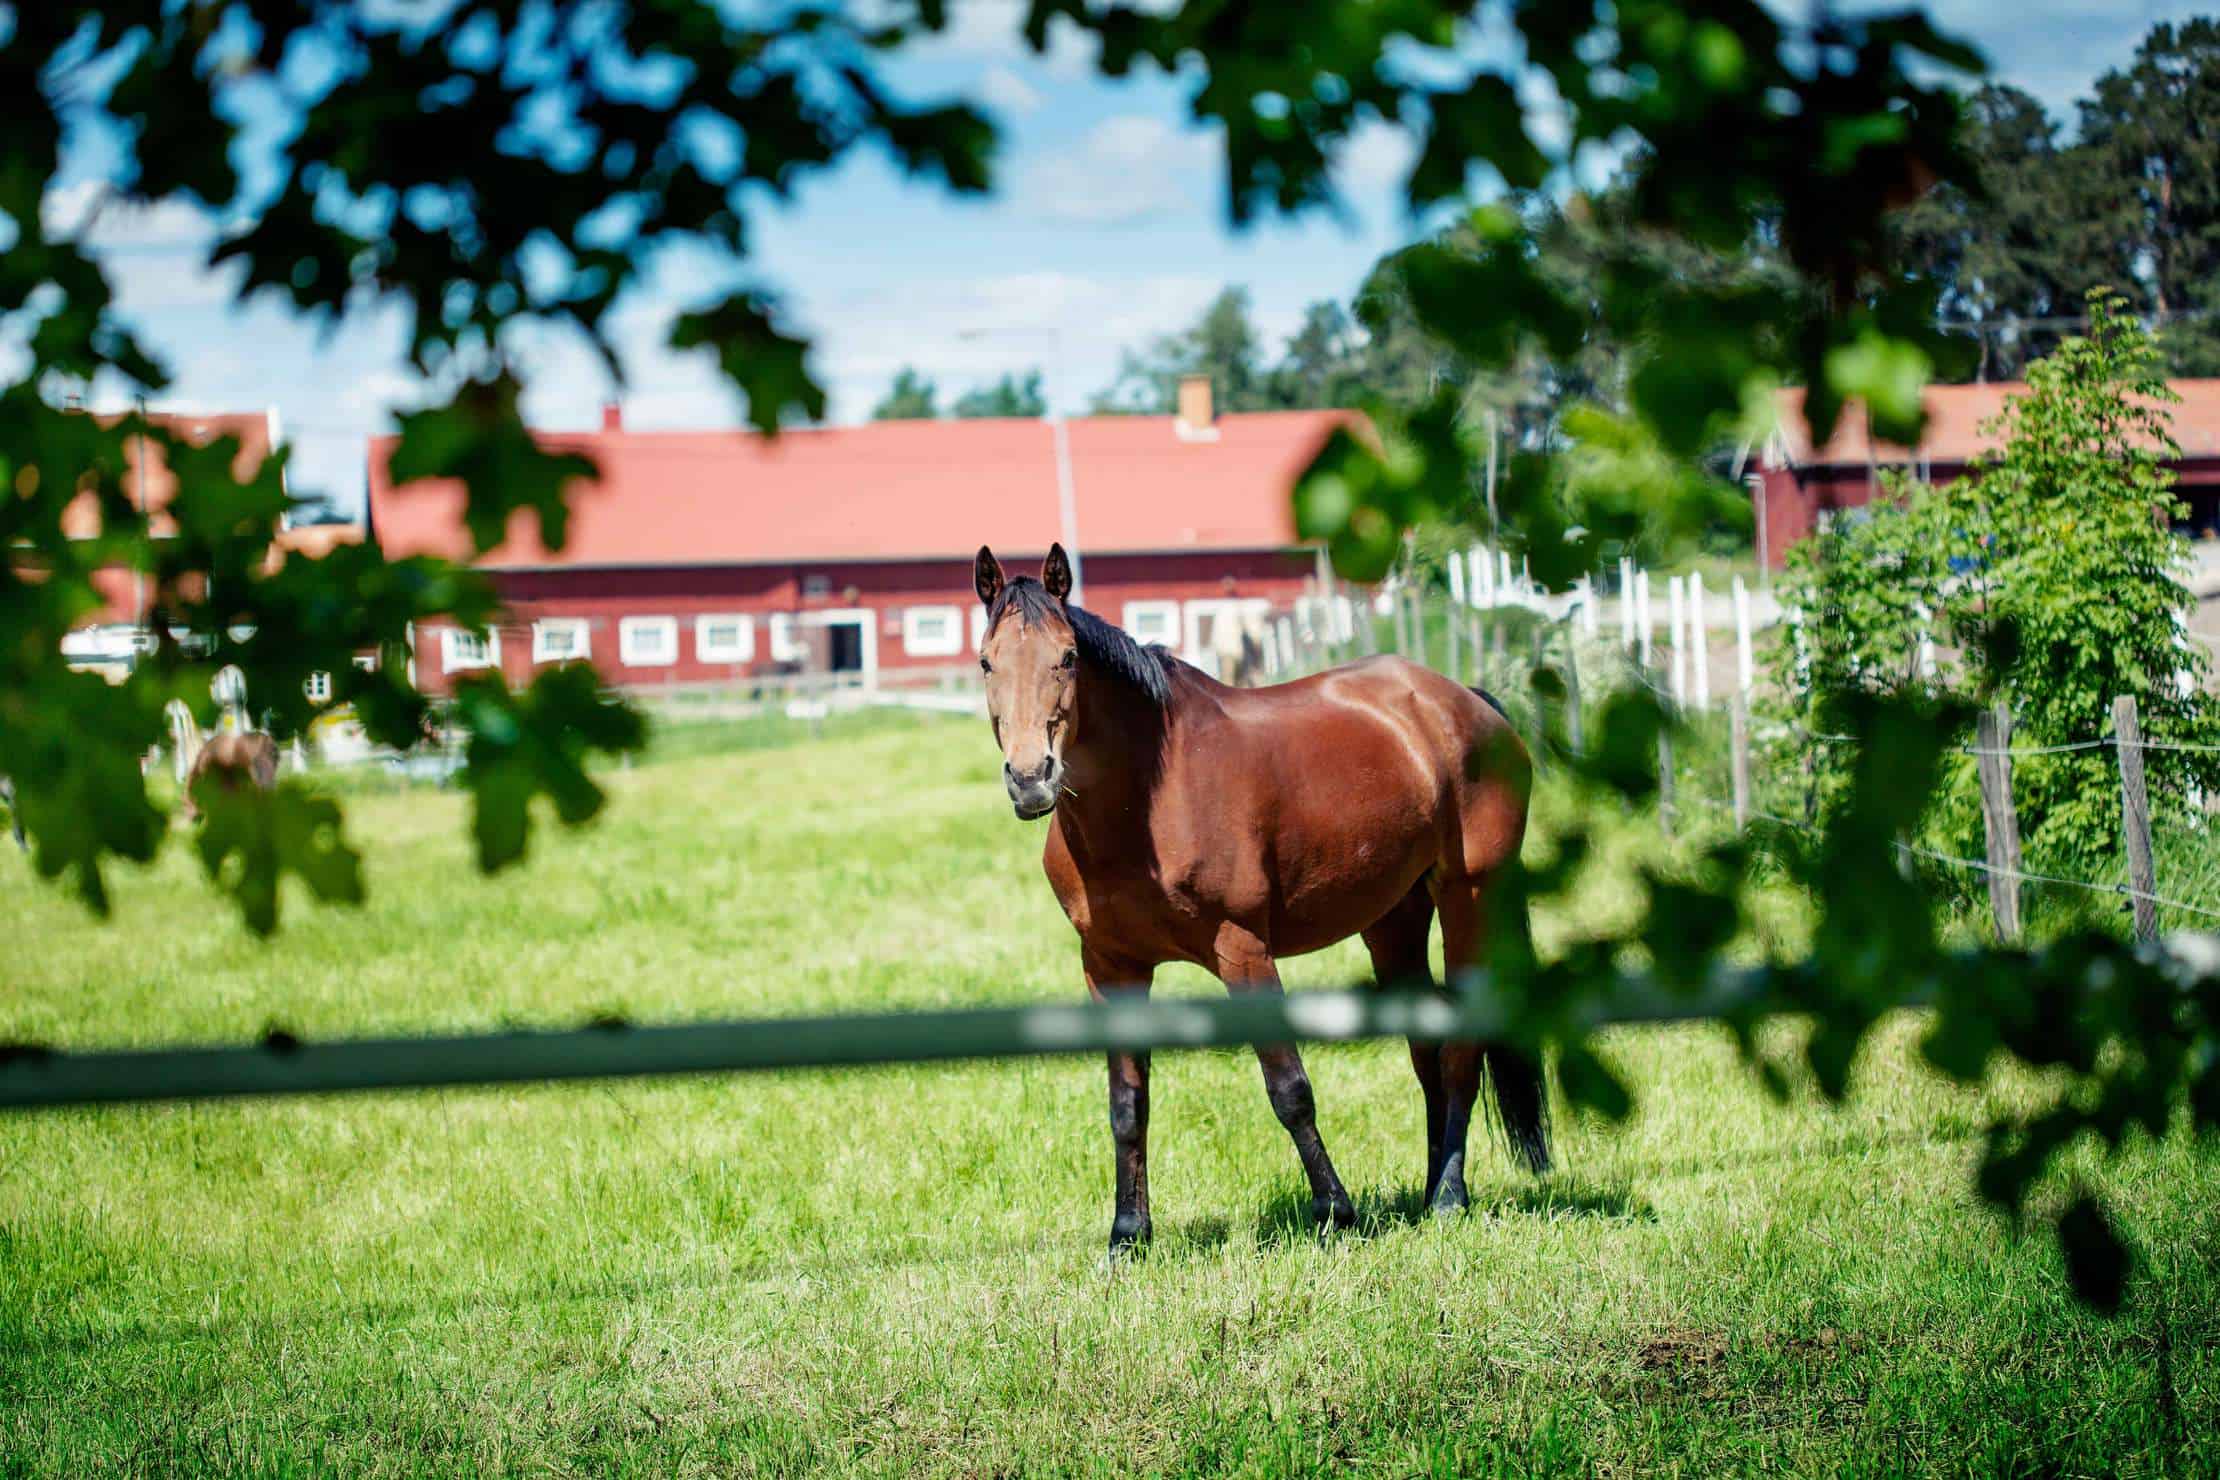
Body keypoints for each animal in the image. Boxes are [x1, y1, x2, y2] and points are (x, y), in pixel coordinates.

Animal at [981, 543, 1554, 1251]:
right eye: (987, 662)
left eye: (1066, 657)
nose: (1031, 778)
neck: (1147, 799)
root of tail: (1467, 703)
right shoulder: (1111, 968)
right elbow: (1127, 1105)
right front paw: (1128, 1234)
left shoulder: (1244, 953)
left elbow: (1289, 1088)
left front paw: (1335, 1211)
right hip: (1394, 919)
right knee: (1427, 1052)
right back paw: (1433, 1192)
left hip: (1471, 895)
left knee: (1459, 1052)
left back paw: (1447, 1198)